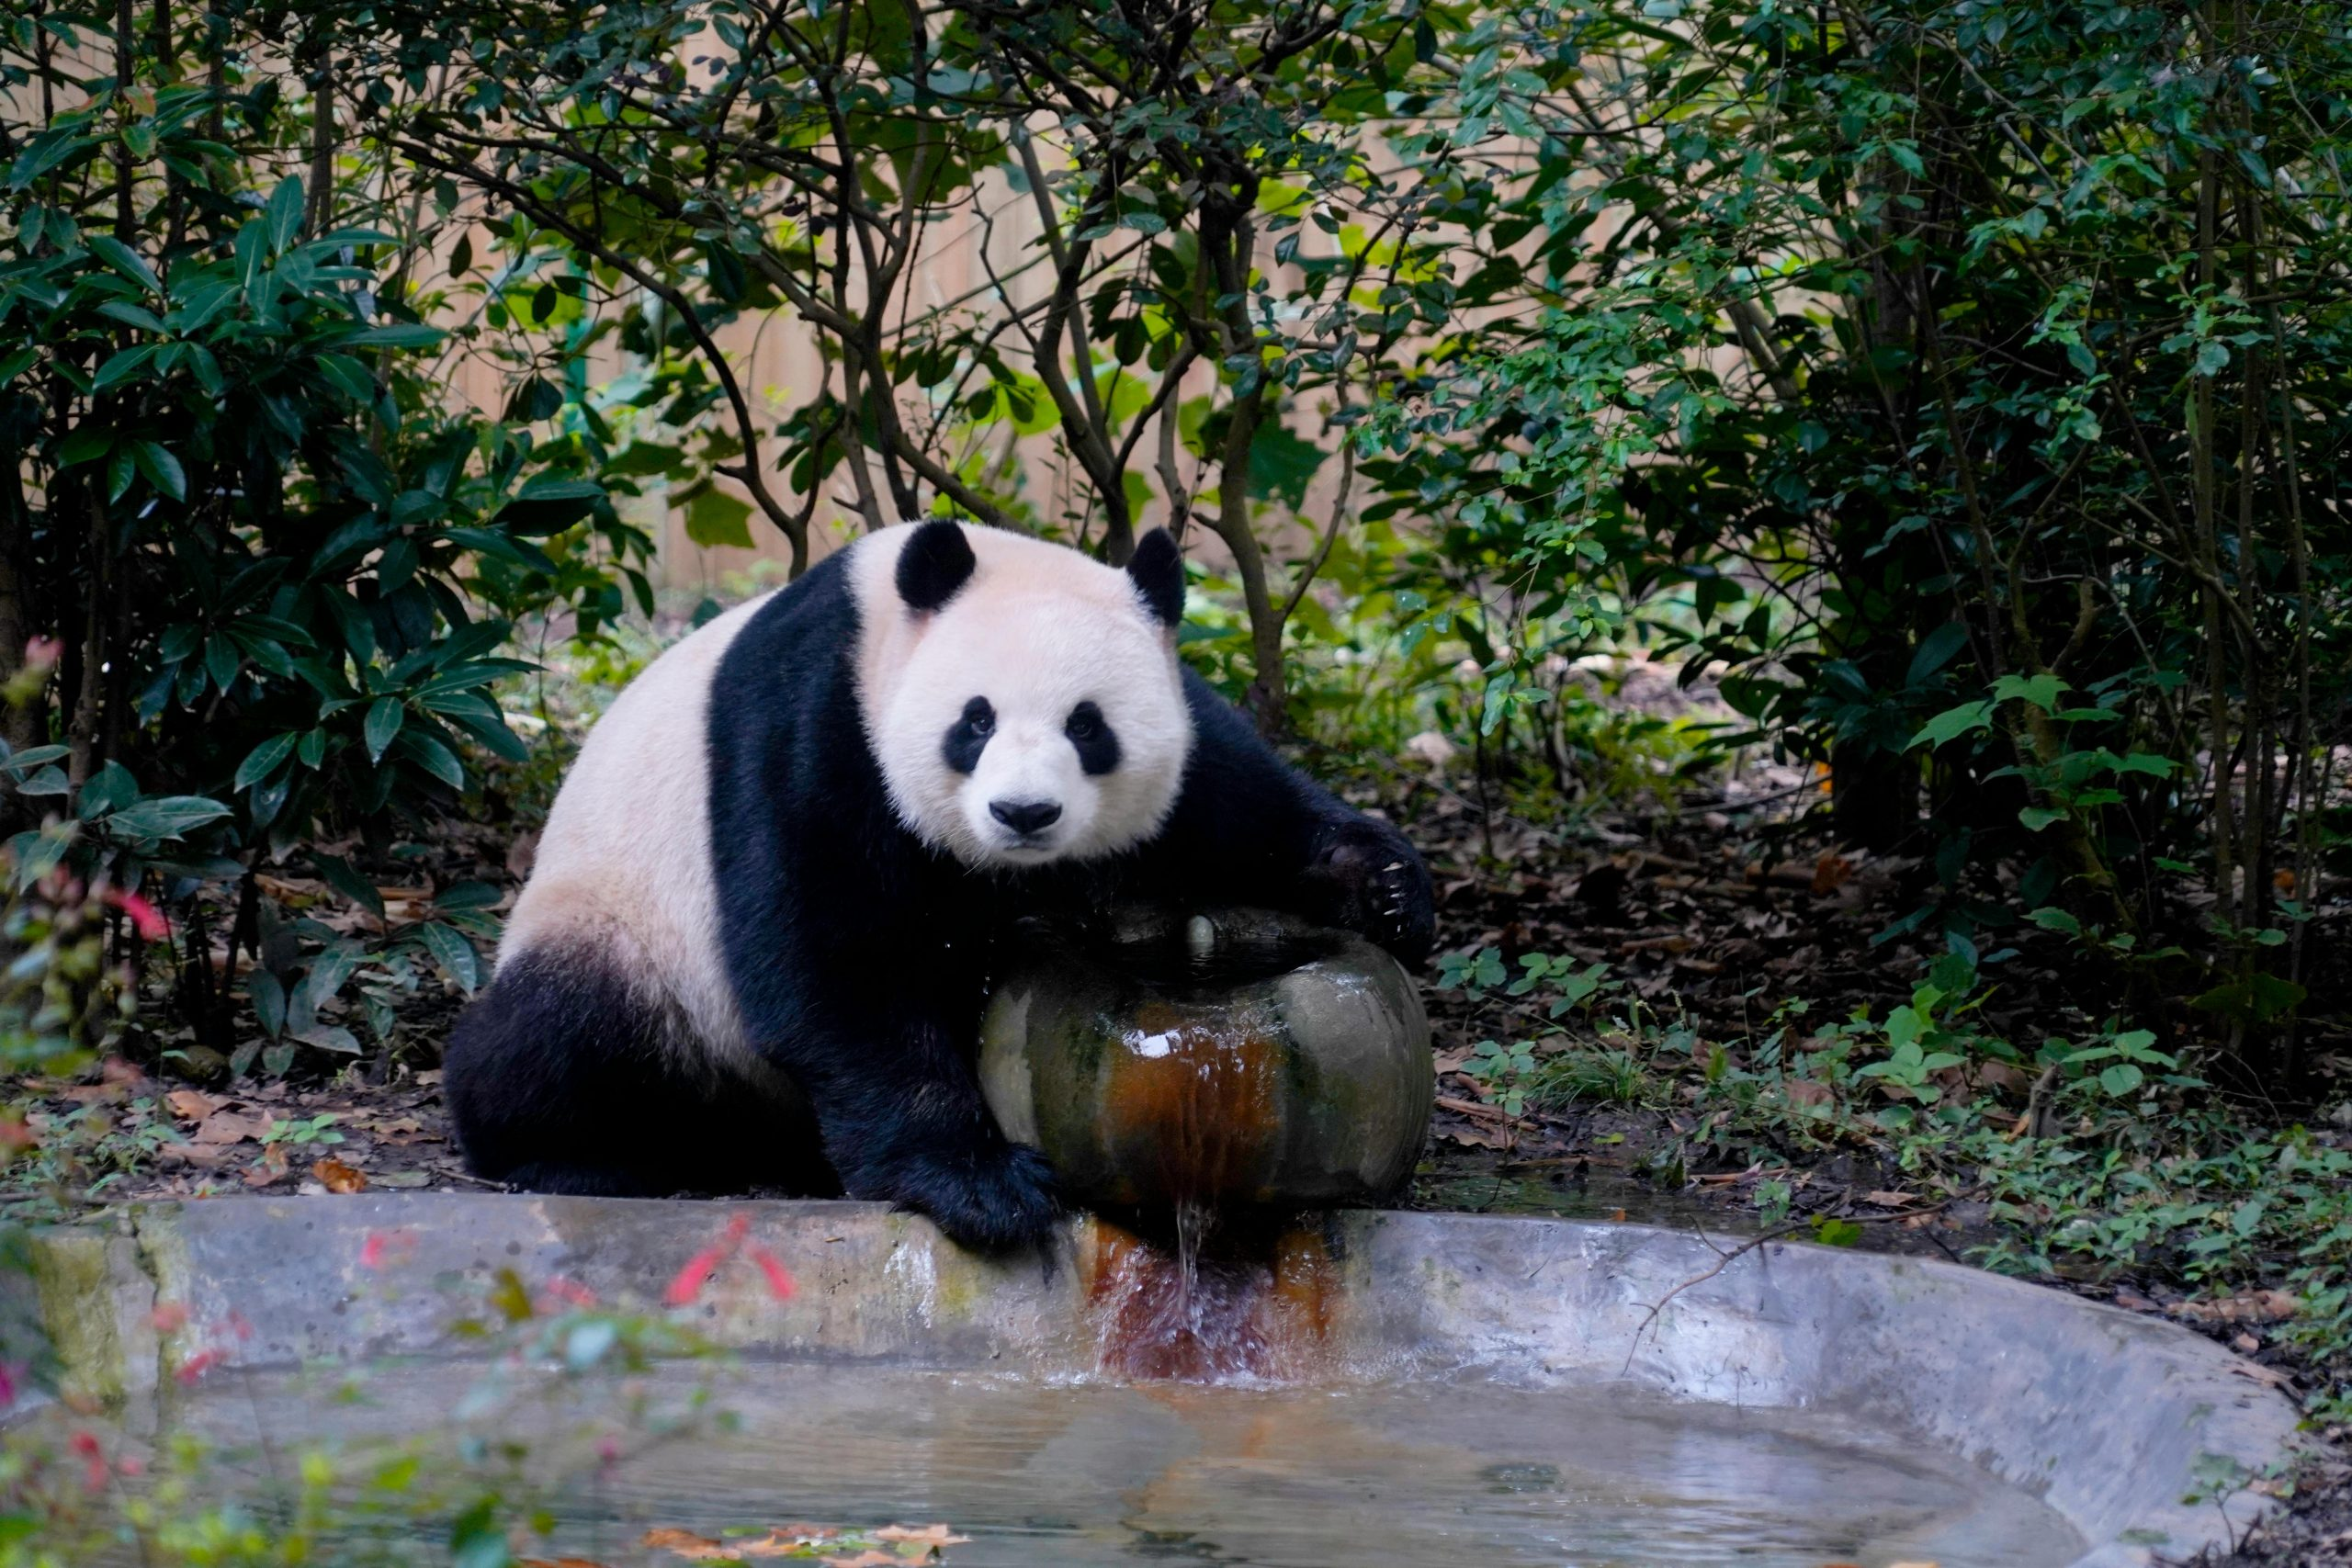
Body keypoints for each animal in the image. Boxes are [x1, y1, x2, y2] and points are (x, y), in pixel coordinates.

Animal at [443, 519, 1434, 1250]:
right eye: (975, 720)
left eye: (1088, 727)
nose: (1025, 812)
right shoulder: (815, 720)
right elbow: (832, 952)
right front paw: (981, 1186)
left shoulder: (1179, 724)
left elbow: (1235, 808)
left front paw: (1386, 890)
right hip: (628, 932)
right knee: (558, 1033)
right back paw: (575, 1155)